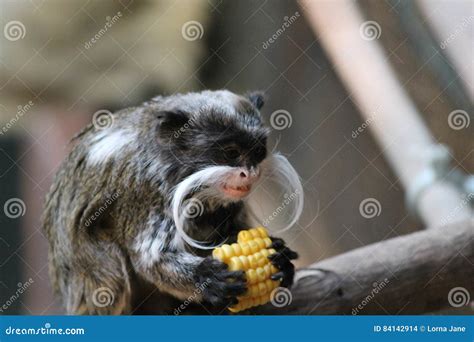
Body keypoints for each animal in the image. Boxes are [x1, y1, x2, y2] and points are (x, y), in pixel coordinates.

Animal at [41, 89, 304, 314]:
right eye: (231, 153)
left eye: (258, 152)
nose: (249, 174)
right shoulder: (149, 189)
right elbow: (152, 259)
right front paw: (207, 279)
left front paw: (280, 257)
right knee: (109, 271)